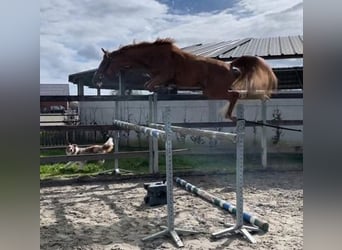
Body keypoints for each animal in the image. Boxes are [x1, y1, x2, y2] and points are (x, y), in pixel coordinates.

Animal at [92, 38, 276, 120]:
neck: (152, 56)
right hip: (212, 91)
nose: (96, 78)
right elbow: (149, 85)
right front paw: (163, 91)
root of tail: (230, 65)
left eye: (105, 61)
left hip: (213, 91)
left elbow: (150, 85)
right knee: (236, 95)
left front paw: (163, 90)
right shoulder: (157, 77)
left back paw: (230, 116)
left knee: (235, 95)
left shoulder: (162, 75)